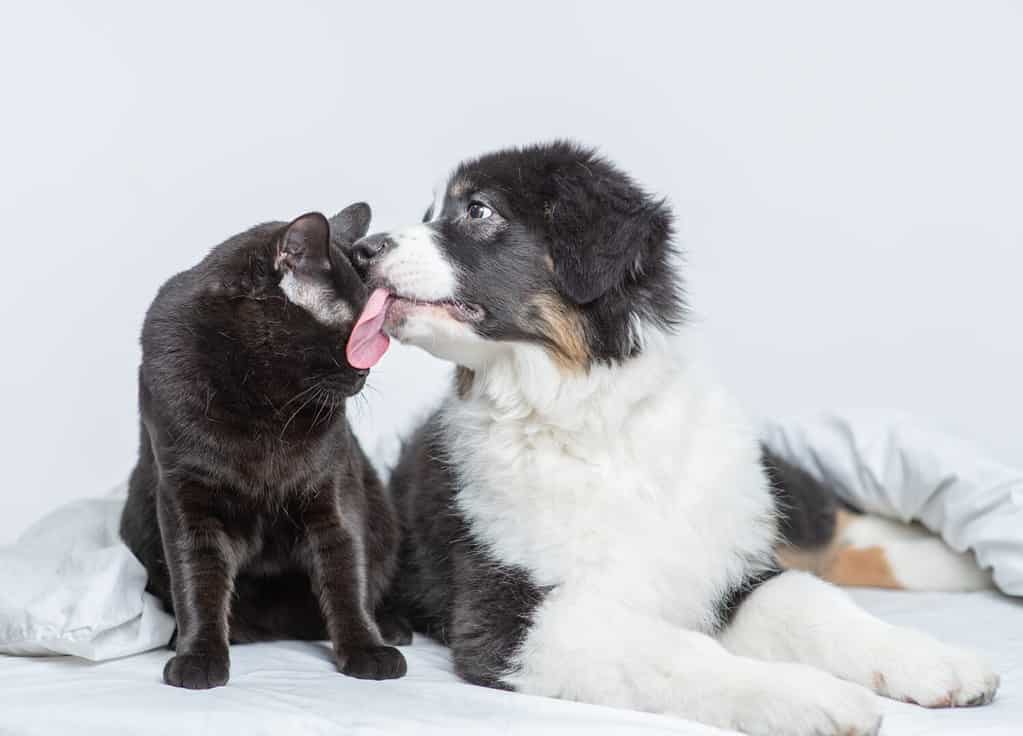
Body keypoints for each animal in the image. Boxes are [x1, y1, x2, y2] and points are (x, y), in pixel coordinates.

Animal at [119, 204, 407, 687]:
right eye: (354, 335)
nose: (364, 374)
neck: (264, 407)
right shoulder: (186, 498)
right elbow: (195, 581)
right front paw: (198, 657)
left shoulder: (334, 492)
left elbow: (348, 574)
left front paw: (367, 649)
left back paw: (392, 626)